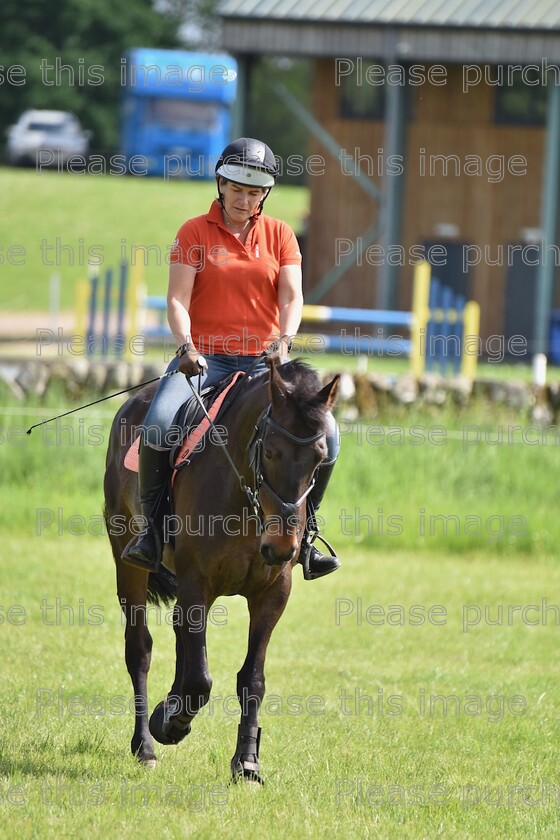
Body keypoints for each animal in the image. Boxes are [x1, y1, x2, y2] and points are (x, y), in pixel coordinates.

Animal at [104, 356, 340, 780]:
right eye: (270, 452)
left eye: (319, 456)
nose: (282, 547)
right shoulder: (197, 583)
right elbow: (200, 679)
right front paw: (170, 725)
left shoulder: (272, 594)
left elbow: (253, 679)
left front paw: (246, 762)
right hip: (128, 563)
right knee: (140, 648)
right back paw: (146, 744)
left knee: (180, 634)